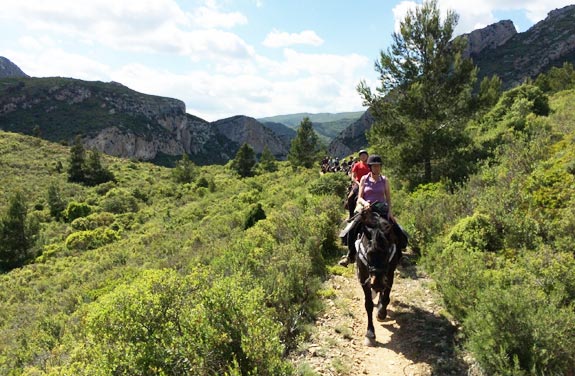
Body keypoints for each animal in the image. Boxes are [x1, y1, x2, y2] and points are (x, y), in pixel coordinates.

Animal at [354, 210, 402, 346]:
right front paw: (370, 333)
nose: (378, 284)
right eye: (369, 253)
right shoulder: (364, 277)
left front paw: (381, 313)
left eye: (386, 253)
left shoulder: (389, 274)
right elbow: (368, 304)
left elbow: (385, 297)